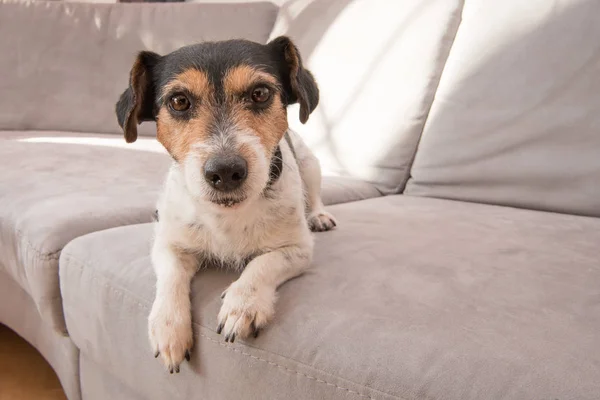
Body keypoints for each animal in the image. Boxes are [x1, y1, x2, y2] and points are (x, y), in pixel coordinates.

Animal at [114, 36, 336, 374]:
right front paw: (168, 327)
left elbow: (262, 264)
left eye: (260, 93)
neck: (226, 214)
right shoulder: (169, 245)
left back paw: (320, 215)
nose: (226, 171)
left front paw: (243, 305)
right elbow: (171, 277)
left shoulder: (297, 249)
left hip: (311, 165)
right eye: (179, 101)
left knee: (315, 194)